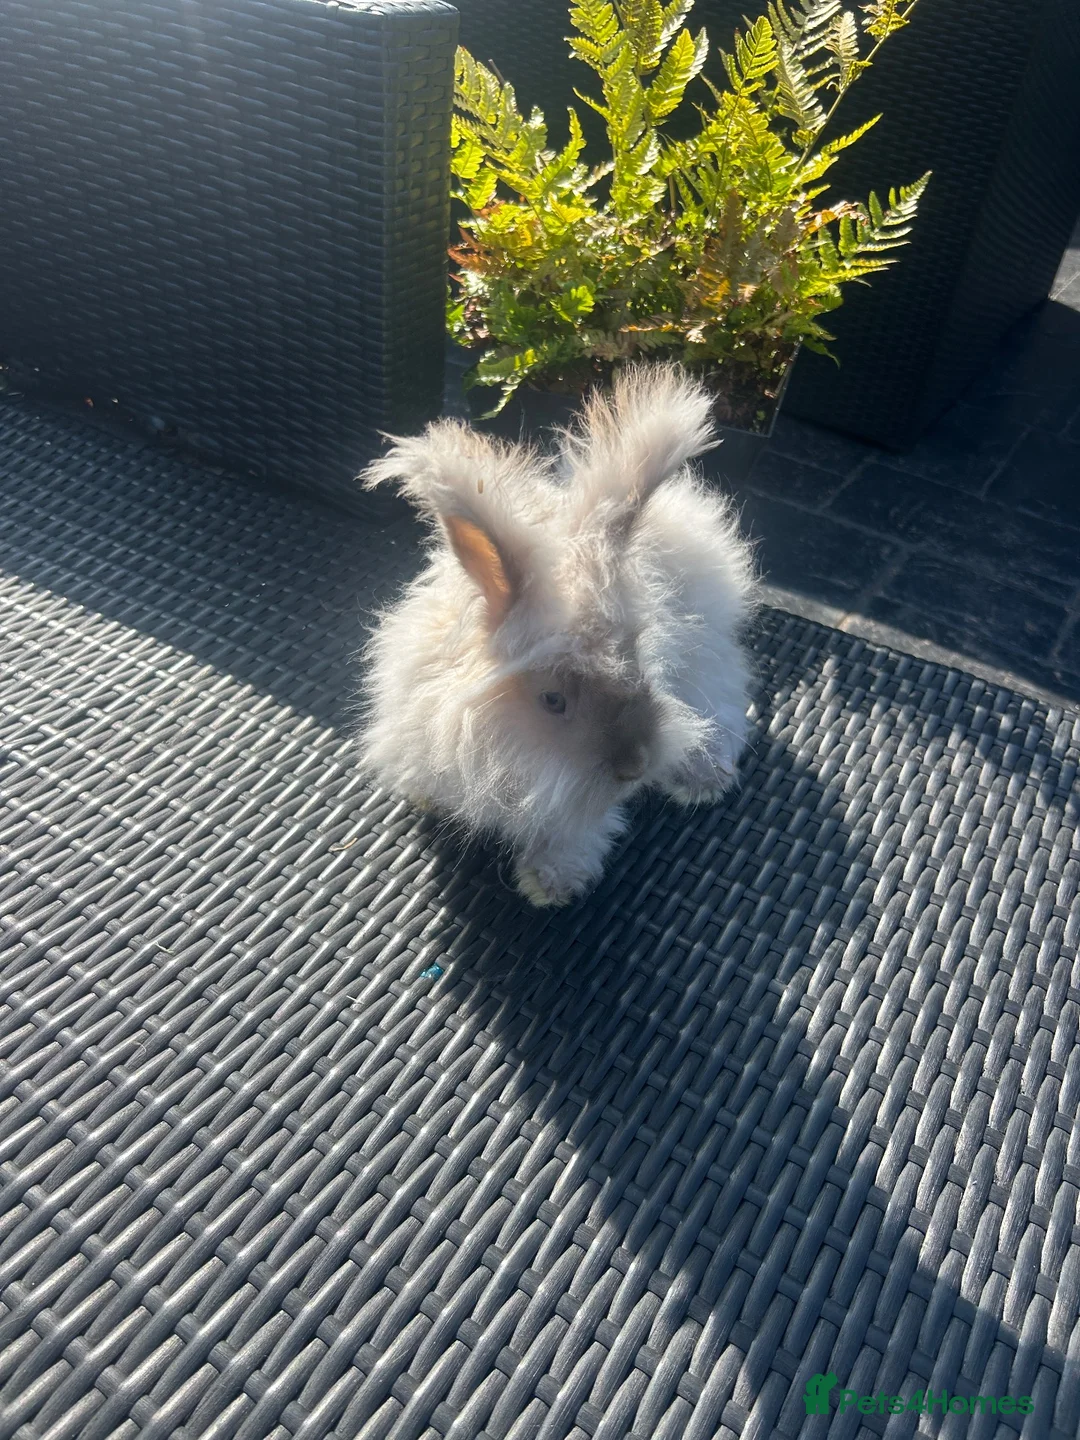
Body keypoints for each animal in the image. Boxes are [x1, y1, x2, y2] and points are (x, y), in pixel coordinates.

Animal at [357, 363, 758, 907]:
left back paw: (703, 778)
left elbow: (573, 829)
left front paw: (550, 884)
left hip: (707, 655)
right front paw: (428, 798)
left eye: (638, 667)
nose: (635, 767)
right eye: (553, 700)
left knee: (726, 701)